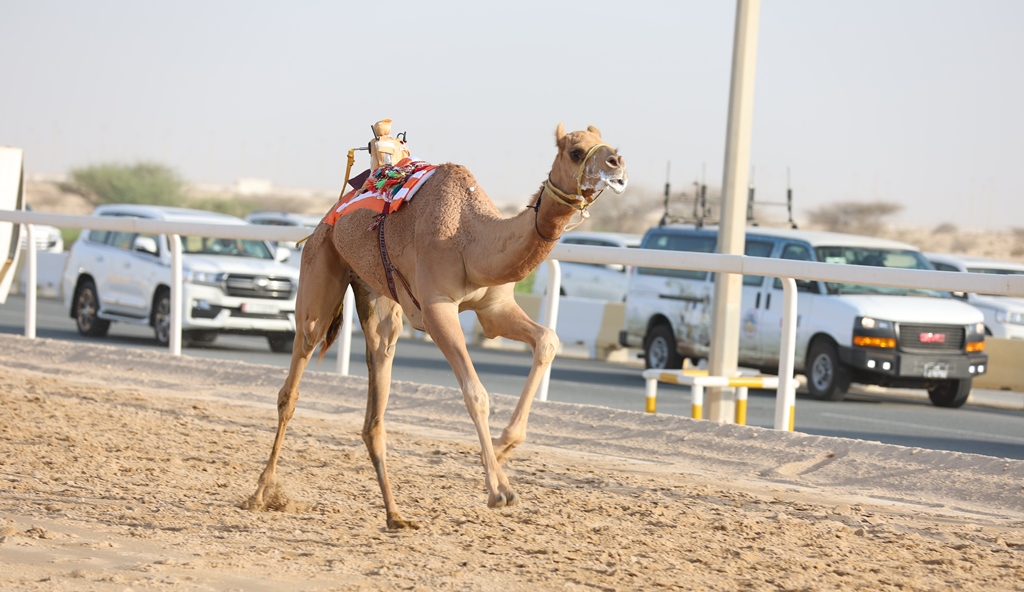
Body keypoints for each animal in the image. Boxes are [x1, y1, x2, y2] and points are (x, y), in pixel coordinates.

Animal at [244, 121, 626, 528]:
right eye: (575, 151)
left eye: (606, 143)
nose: (617, 164)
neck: (470, 239)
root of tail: (327, 218)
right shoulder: (436, 309)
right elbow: (476, 393)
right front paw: (499, 490)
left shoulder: (494, 307)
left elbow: (548, 340)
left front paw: (503, 448)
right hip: (320, 269)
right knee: (294, 378)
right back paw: (261, 493)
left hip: (376, 297)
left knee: (376, 394)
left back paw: (395, 515)